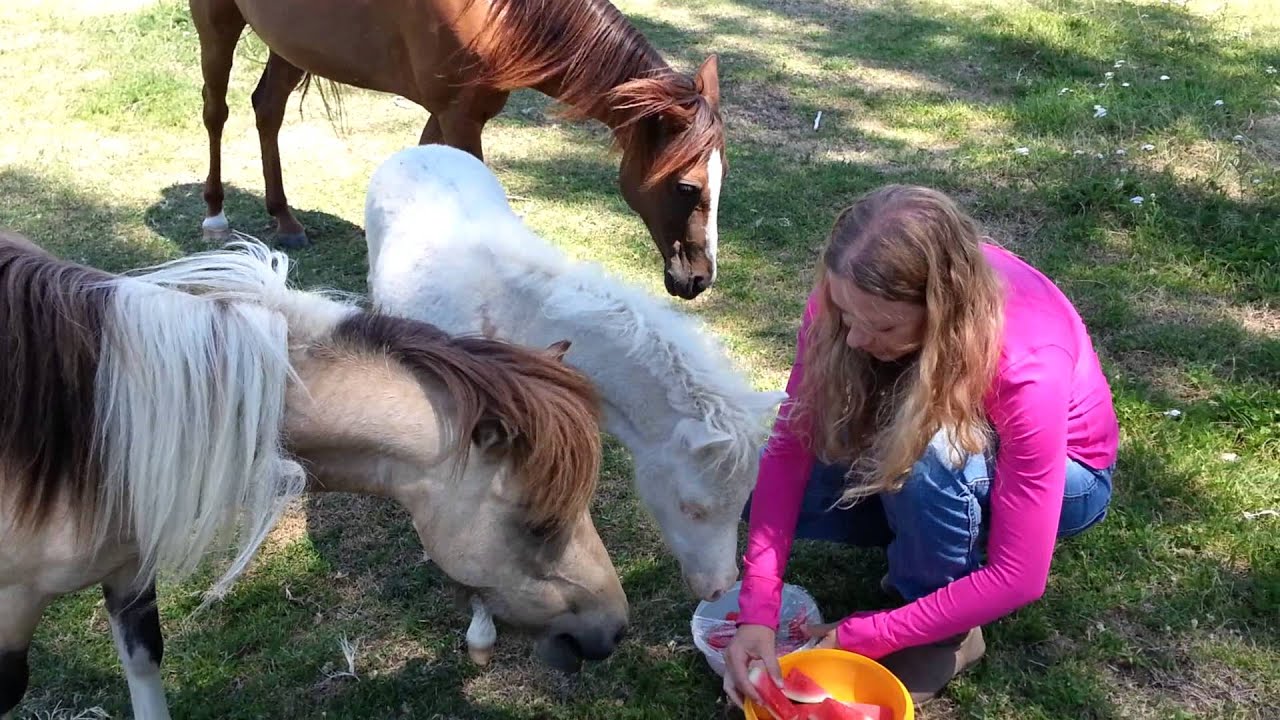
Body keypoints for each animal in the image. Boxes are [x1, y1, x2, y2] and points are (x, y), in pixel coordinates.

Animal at [190, 0, 727, 300]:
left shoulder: (449, 112)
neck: (497, 15)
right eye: (687, 186)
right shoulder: (460, 117)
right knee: (215, 111)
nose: (700, 278)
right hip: (217, 24)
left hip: (292, 44)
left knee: (268, 108)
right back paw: (215, 215)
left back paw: (284, 219)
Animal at [363, 144, 786, 654]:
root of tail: (418, 149)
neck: (528, 322)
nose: (719, 587)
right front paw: (482, 628)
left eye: (745, 498)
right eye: (692, 507)